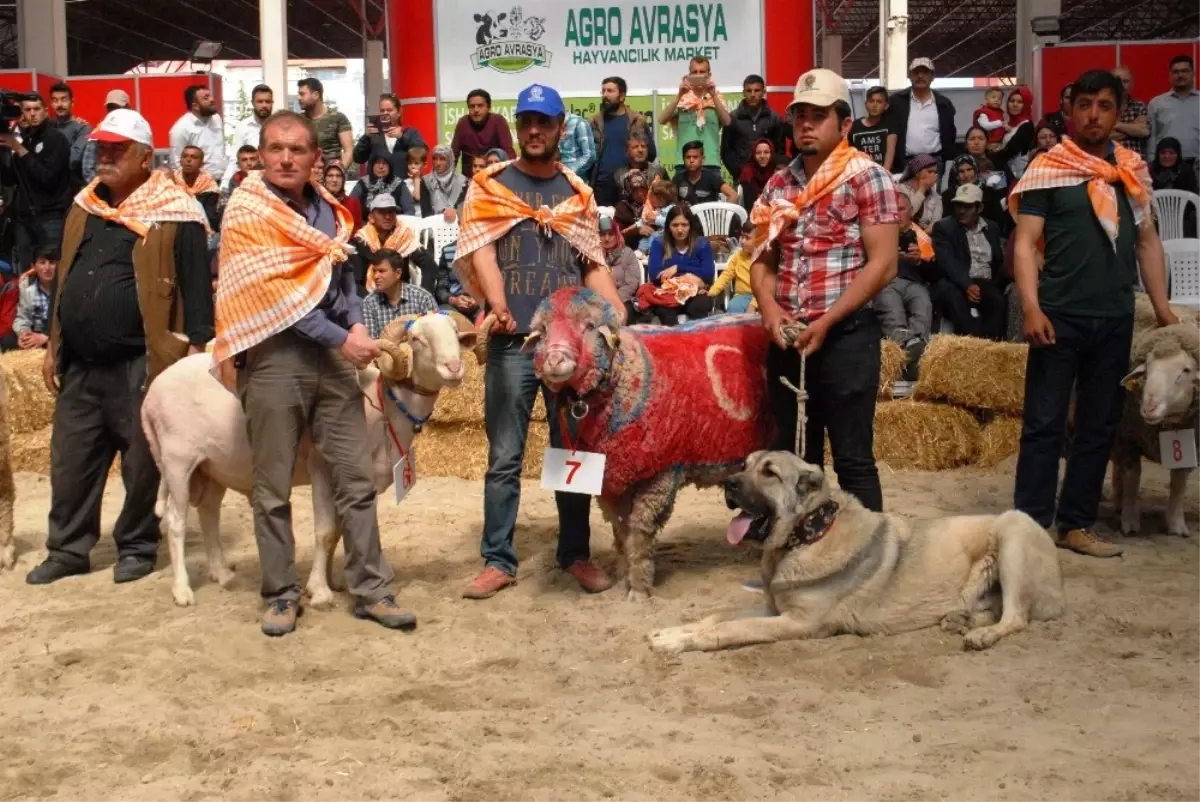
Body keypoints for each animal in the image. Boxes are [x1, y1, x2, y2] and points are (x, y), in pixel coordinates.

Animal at [138, 309, 480, 605]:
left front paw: (333, 581)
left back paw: (222, 574)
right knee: (176, 522)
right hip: (177, 462)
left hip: (213, 467)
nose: (454, 368)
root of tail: (151, 394)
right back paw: (182, 591)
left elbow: (340, 529)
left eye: (455, 333)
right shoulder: (323, 469)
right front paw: (320, 591)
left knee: (209, 512)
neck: (384, 404)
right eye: (417, 338)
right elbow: (326, 531)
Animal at [652, 451, 1065, 653]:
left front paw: (678, 643)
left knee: (1017, 616)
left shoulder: (798, 622)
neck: (807, 536)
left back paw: (982, 635)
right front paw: (672, 631)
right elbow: (717, 616)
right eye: (745, 465)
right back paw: (959, 619)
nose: (728, 483)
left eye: (769, 473)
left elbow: (731, 628)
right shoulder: (774, 609)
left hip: (1013, 529)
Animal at [1108, 321, 1200, 537]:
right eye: (1147, 369)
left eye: (1186, 370)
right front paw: (1130, 521)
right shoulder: (1126, 439)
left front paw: (1176, 524)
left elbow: (1179, 483)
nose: (1149, 408)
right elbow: (1133, 478)